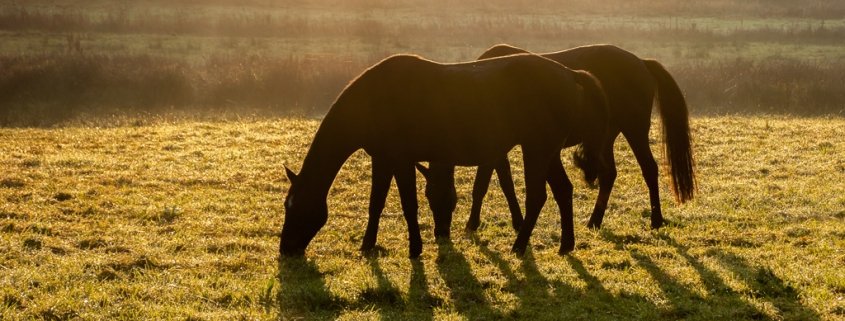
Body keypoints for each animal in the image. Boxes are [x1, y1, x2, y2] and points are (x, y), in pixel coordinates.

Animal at [282, 53, 608, 258]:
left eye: (293, 207)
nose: (285, 249)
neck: (374, 99)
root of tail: (572, 75)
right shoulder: (382, 159)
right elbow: (376, 204)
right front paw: (367, 245)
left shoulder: (401, 159)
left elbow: (409, 205)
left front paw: (415, 249)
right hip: (547, 152)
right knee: (563, 190)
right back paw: (566, 245)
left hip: (537, 149)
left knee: (537, 197)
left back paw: (519, 246)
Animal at [432, 43, 696, 232]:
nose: (441, 231)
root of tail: (642, 62)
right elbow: (503, 183)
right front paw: (514, 221)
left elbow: (483, 185)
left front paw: (473, 223)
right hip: (605, 136)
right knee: (609, 174)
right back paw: (594, 221)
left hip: (635, 129)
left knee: (649, 169)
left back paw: (656, 219)